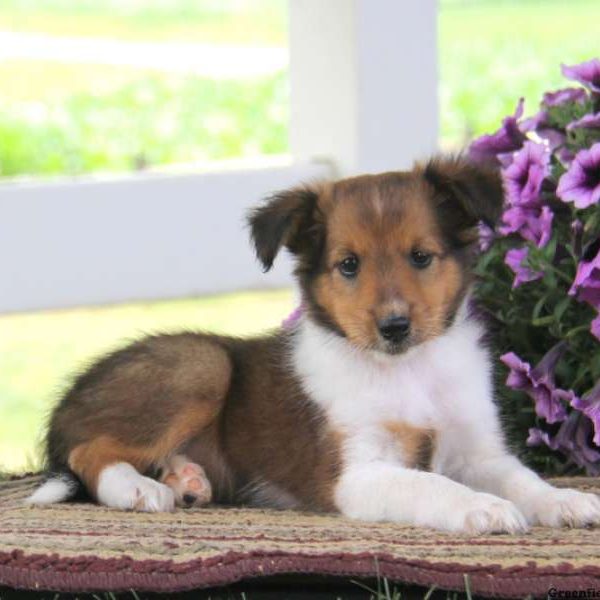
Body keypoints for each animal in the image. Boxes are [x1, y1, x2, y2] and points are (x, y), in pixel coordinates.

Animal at [28, 157, 600, 532]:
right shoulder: (355, 474)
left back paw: (186, 478)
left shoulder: (477, 450)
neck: (405, 369)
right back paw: (140, 489)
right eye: (348, 265)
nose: (395, 326)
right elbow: (432, 485)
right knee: (88, 449)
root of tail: (68, 400)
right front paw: (483, 509)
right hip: (202, 364)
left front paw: (564, 502)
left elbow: (522, 477)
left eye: (420, 256)